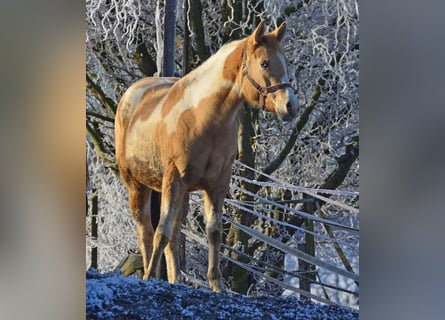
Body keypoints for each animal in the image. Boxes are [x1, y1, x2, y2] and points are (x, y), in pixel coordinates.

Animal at [113, 20, 298, 292]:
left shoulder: (217, 184)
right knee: (146, 230)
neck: (202, 118)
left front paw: (217, 285)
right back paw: (150, 273)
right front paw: (148, 278)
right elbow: (160, 232)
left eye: (285, 61)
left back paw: (176, 279)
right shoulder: (173, 180)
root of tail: (130, 95)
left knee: (174, 235)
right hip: (137, 185)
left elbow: (213, 232)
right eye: (264, 63)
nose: (290, 106)